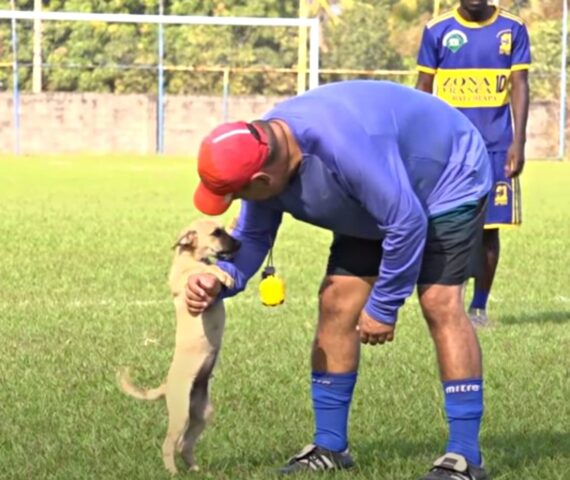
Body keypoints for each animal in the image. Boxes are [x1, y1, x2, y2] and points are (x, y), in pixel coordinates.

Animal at [117, 219, 237, 474]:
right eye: (216, 233)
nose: (239, 244)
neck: (189, 256)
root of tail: (166, 386)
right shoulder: (188, 279)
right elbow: (206, 269)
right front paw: (224, 276)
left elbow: (208, 266)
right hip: (181, 414)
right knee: (169, 445)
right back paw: (172, 472)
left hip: (201, 414)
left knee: (184, 445)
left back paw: (195, 469)